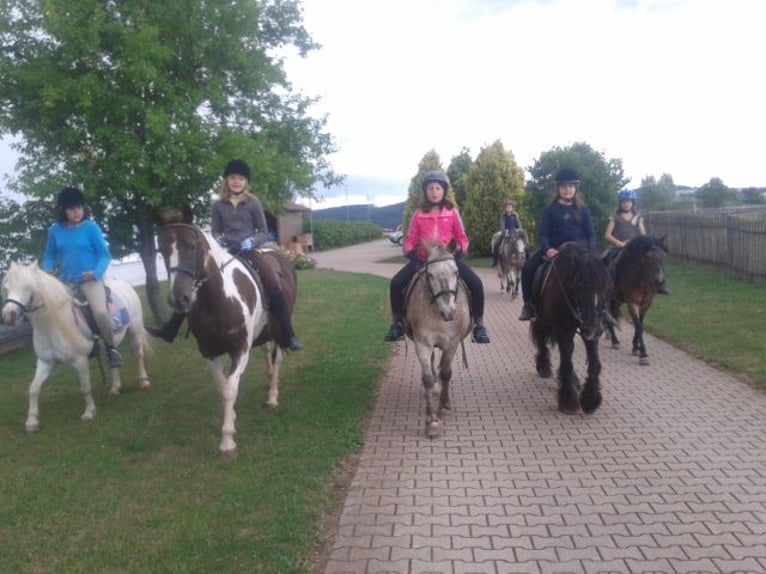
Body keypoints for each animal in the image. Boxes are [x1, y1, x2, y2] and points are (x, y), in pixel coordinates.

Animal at [1, 260, 152, 432]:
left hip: (135, 332)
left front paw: (89, 412)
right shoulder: (46, 362)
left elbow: (85, 388)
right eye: (6, 287)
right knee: (113, 360)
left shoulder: (80, 361)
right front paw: (32, 421)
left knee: (138, 356)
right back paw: (115, 388)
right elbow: (33, 388)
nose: (8, 315)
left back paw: (144, 382)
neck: (54, 323)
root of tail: (125, 285)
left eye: (28, 287)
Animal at [532, 242, 616, 414]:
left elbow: (594, 363)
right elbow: (566, 362)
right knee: (540, 337)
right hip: (543, 320)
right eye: (580, 286)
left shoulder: (590, 331)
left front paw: (590, 400)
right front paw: (568, 400)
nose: (594, 328)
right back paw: (544, 367)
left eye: (606, 287)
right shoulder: (562, 329)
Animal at [608, 235, 664, 366]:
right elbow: (638, 326)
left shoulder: (646, 303)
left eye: (663, 256)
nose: (659, 281)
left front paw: (635, 347)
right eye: (647, 256)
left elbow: (640, 324)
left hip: (617, 300)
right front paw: (643, 354)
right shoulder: (632, 303)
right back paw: (614, 340)